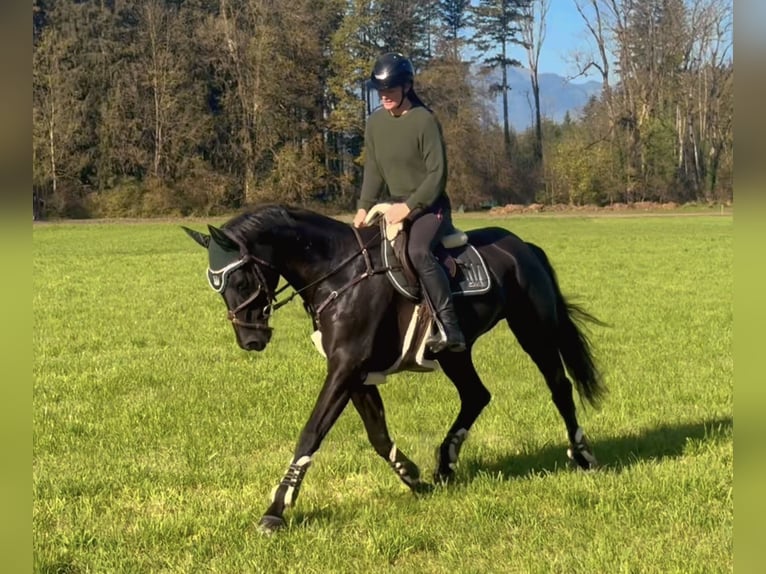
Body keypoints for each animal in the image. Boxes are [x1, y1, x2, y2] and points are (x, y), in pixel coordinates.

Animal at [183, 204, 608, 536]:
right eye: (217, 286)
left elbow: (311, 433)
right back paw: (445, 463)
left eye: (240, 279)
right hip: (456, 352)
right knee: (476, 394)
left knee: (559, 386)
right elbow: (377, 433)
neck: (338, 274)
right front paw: (411, 474)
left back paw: (583, 455)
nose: (250, 339)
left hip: (534, 329)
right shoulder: (354, 374)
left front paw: (276, 510)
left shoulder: (346, 367)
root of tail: (522, 247)